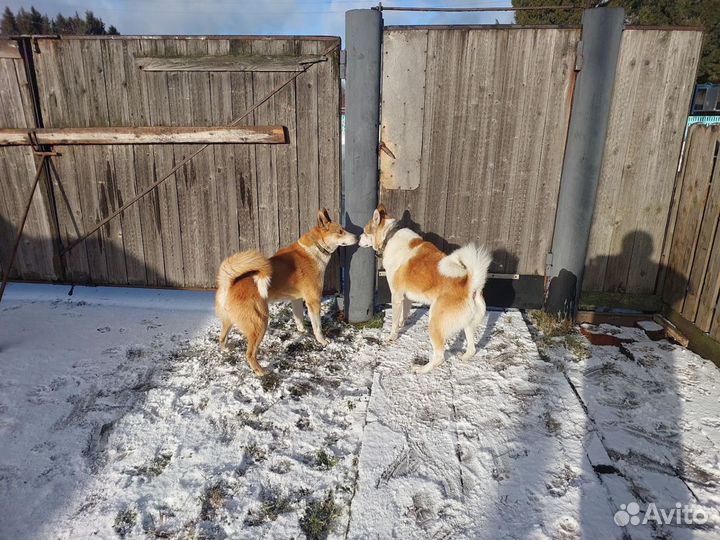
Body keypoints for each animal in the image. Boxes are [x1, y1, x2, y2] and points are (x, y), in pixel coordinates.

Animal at [217, 209, 358, 378]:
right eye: (340, 232)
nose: (357, 237)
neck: (316, 248)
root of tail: (229, 283)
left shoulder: (296, 300)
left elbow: (299, 319)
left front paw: (302, 331)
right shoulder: (313, 301)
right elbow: (317, 326)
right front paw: (322, 341)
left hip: (229, 321)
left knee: (221, 338)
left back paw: (226, 349)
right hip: (260, 323)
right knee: (249, 354)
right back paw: (260, 371)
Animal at [358, 205, 492, 374]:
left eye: (365, 231)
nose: (357, 239)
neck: (390, 236)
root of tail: (470, 284)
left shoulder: (396, 296)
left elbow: (394, 321)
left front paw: (392, 336)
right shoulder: (406, 297)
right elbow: (404, 315)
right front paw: (403, 324)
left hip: (434, 323)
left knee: (439, 356)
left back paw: (421, 369)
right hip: (467, 324)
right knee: (472, 349)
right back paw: (464, 357)